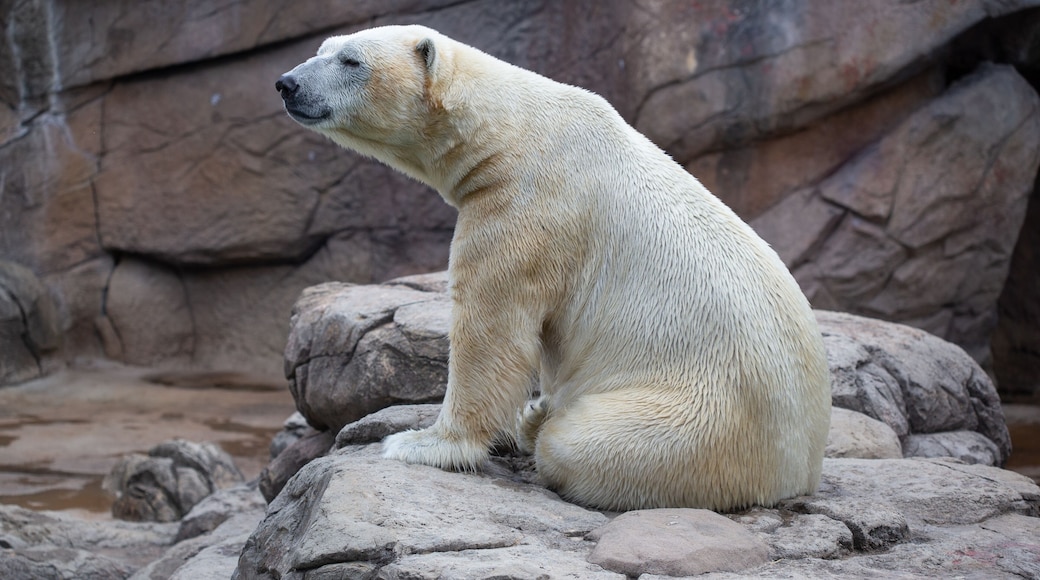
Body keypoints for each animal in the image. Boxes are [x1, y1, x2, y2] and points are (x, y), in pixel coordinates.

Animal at [276, 25, 831, 512]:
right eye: (322, 50)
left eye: (351, 61)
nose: (287, 83)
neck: (512, 131)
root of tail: (799, 469)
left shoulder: (528, 204)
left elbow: (491, 327)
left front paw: (422, 443)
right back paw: (537, 412)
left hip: (698, 417)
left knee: (583, 443)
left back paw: (542, 428)